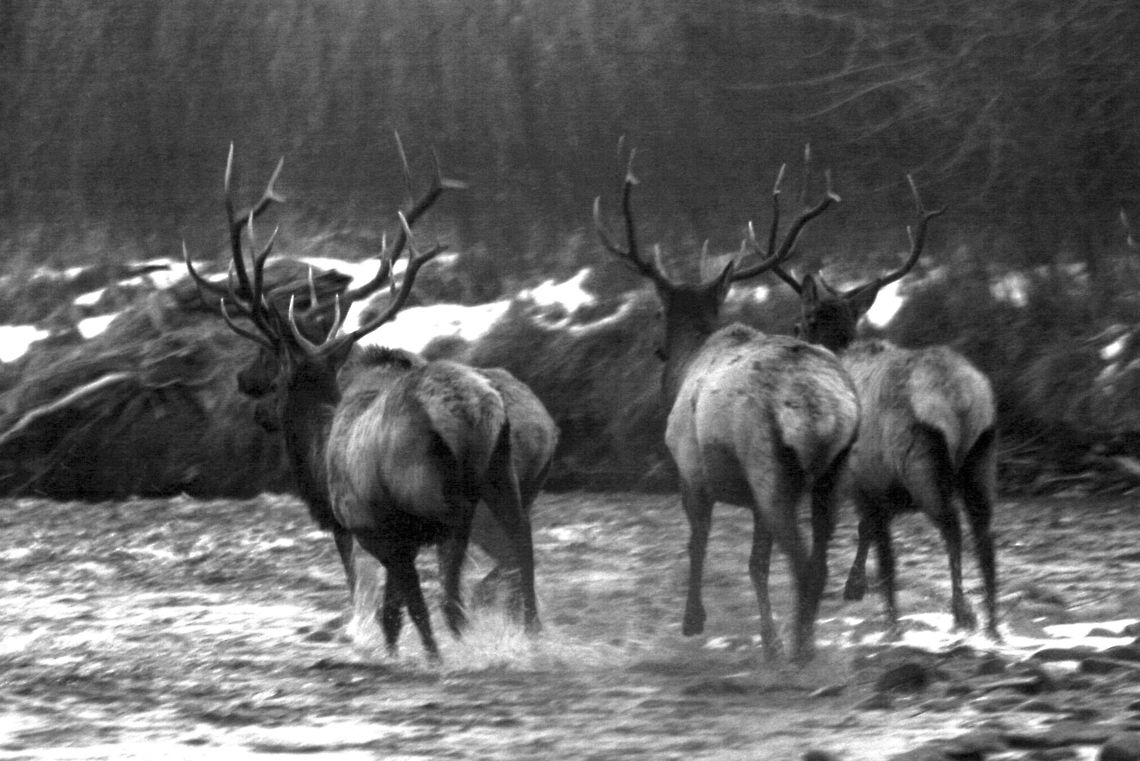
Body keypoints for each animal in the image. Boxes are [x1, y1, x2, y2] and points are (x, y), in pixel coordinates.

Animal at [185, 144, 545, 659]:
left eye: (276, 373)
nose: (254, 402)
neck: (320, 452)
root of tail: (474, 413)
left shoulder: (373, 527)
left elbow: (401, 608)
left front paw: (417, 655)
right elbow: (393, 612)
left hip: (438, 498)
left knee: (455, 592)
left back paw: (463, 644)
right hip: (503, 478)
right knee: (524, 556)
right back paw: (531, 638)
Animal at [593, 151, 860, 661]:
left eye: (659, 311)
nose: (657, 350)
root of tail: (822, 411)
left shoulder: (689, 471)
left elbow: (698, 545)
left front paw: (694, 622)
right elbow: (755, 564)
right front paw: (764, 637)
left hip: (769, 466)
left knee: (804, 564)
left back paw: (798, 649)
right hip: (834, 473)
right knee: (819, 559)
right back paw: (806, 642)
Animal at [754, 175, 999, 639]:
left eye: (800, 321)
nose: (790, 338)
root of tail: (959, 400)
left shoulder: (860, 477)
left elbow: (872, 542)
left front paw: (864, 596)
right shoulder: (869, 483)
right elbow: (873, 538)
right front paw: (858, 590)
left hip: (918, 460)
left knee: (952, 526)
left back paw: (963, 611)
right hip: (981, 458)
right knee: (985, 535)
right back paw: (991, 621)